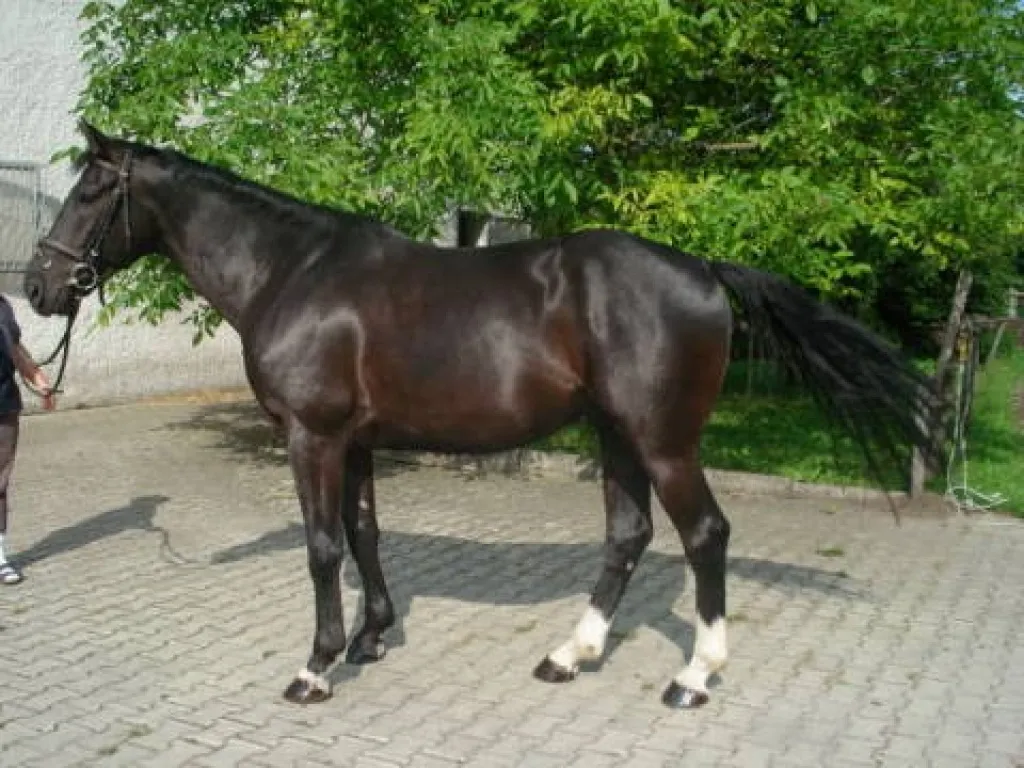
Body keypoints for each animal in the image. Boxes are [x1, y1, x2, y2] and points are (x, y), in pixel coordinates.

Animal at [24, 121, 941, 709]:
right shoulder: (356, 442)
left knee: (703, 536)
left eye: (91, 191)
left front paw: (318, 667)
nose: (38, 287)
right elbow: (364, 535)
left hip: (664, 442)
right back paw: (570, 655)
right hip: (615, 434)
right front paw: (372, 637)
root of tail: (705, 269)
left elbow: (323, 548)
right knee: (628, 536)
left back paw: (691, 679)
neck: (295, 270)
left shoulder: (312, 437)